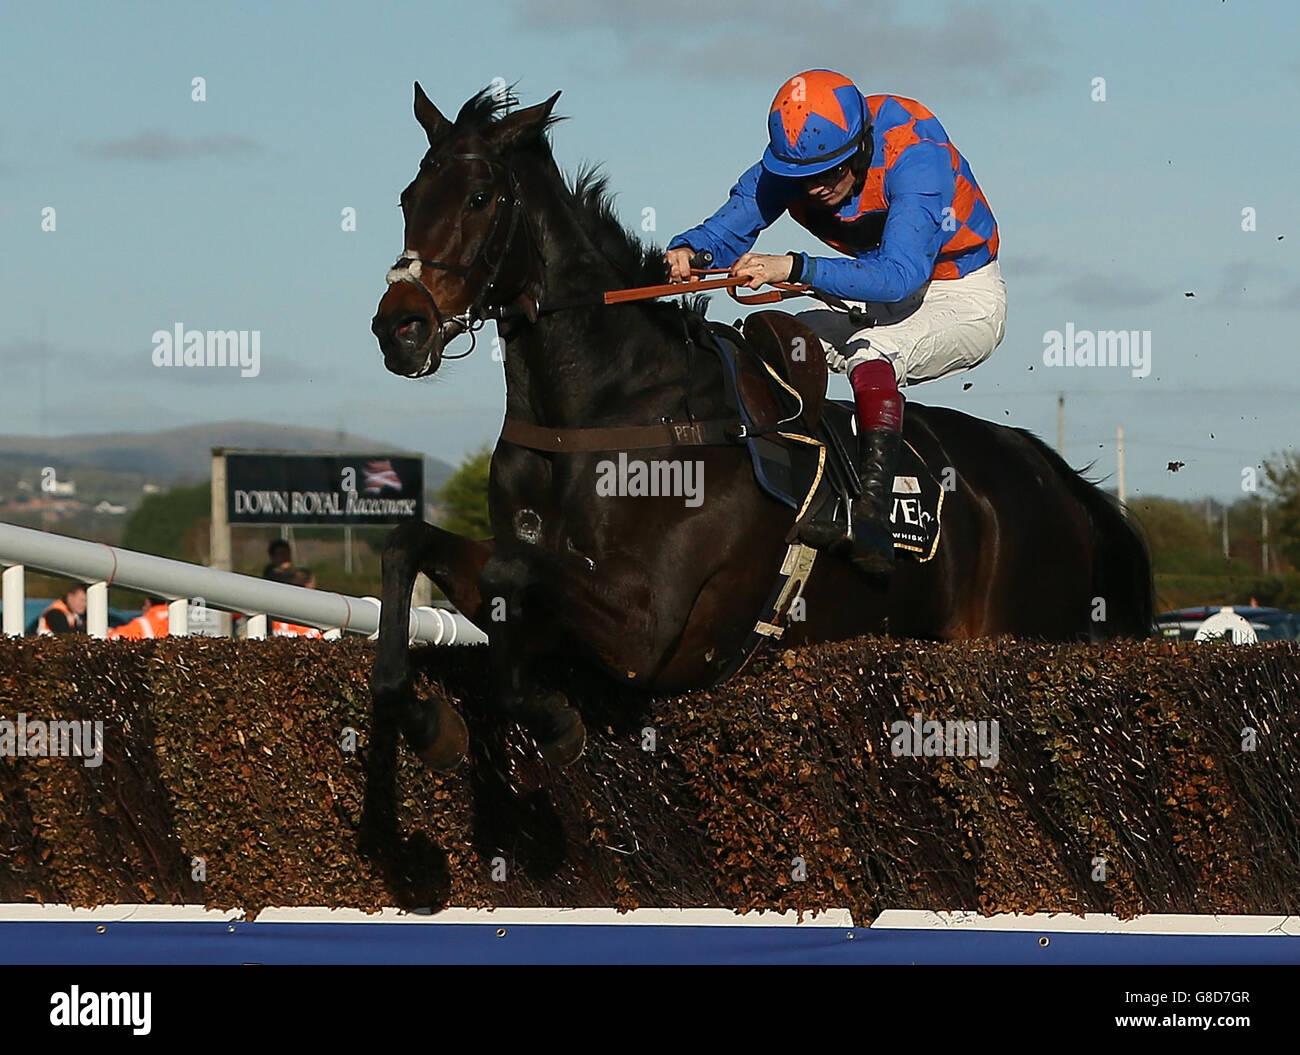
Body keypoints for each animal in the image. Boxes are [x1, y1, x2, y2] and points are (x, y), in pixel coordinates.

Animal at [371, 84, 1154, 763]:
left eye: (479, 198)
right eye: (407, 198)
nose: (399, 328)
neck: (606, 409)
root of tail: (1054, 476)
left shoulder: (650, 630)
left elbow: (513, 571)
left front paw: (552, 721)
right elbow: (417, 546)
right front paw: (428, 720)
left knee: (874, 355)